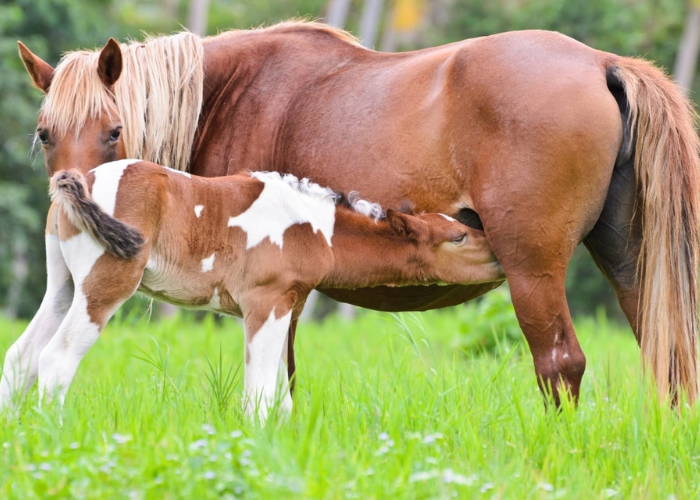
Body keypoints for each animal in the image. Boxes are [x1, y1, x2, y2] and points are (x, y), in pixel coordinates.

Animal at [0, 159, 503, 421]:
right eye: (458, 236)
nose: (501, 254)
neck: (313, 227)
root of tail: (79, 180)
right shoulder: (265, 303)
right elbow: (260, 396)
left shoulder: (286, 308)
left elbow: (280, 397)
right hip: (106, 284)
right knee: (56, 358)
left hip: (65, 286)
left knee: (22, 356)